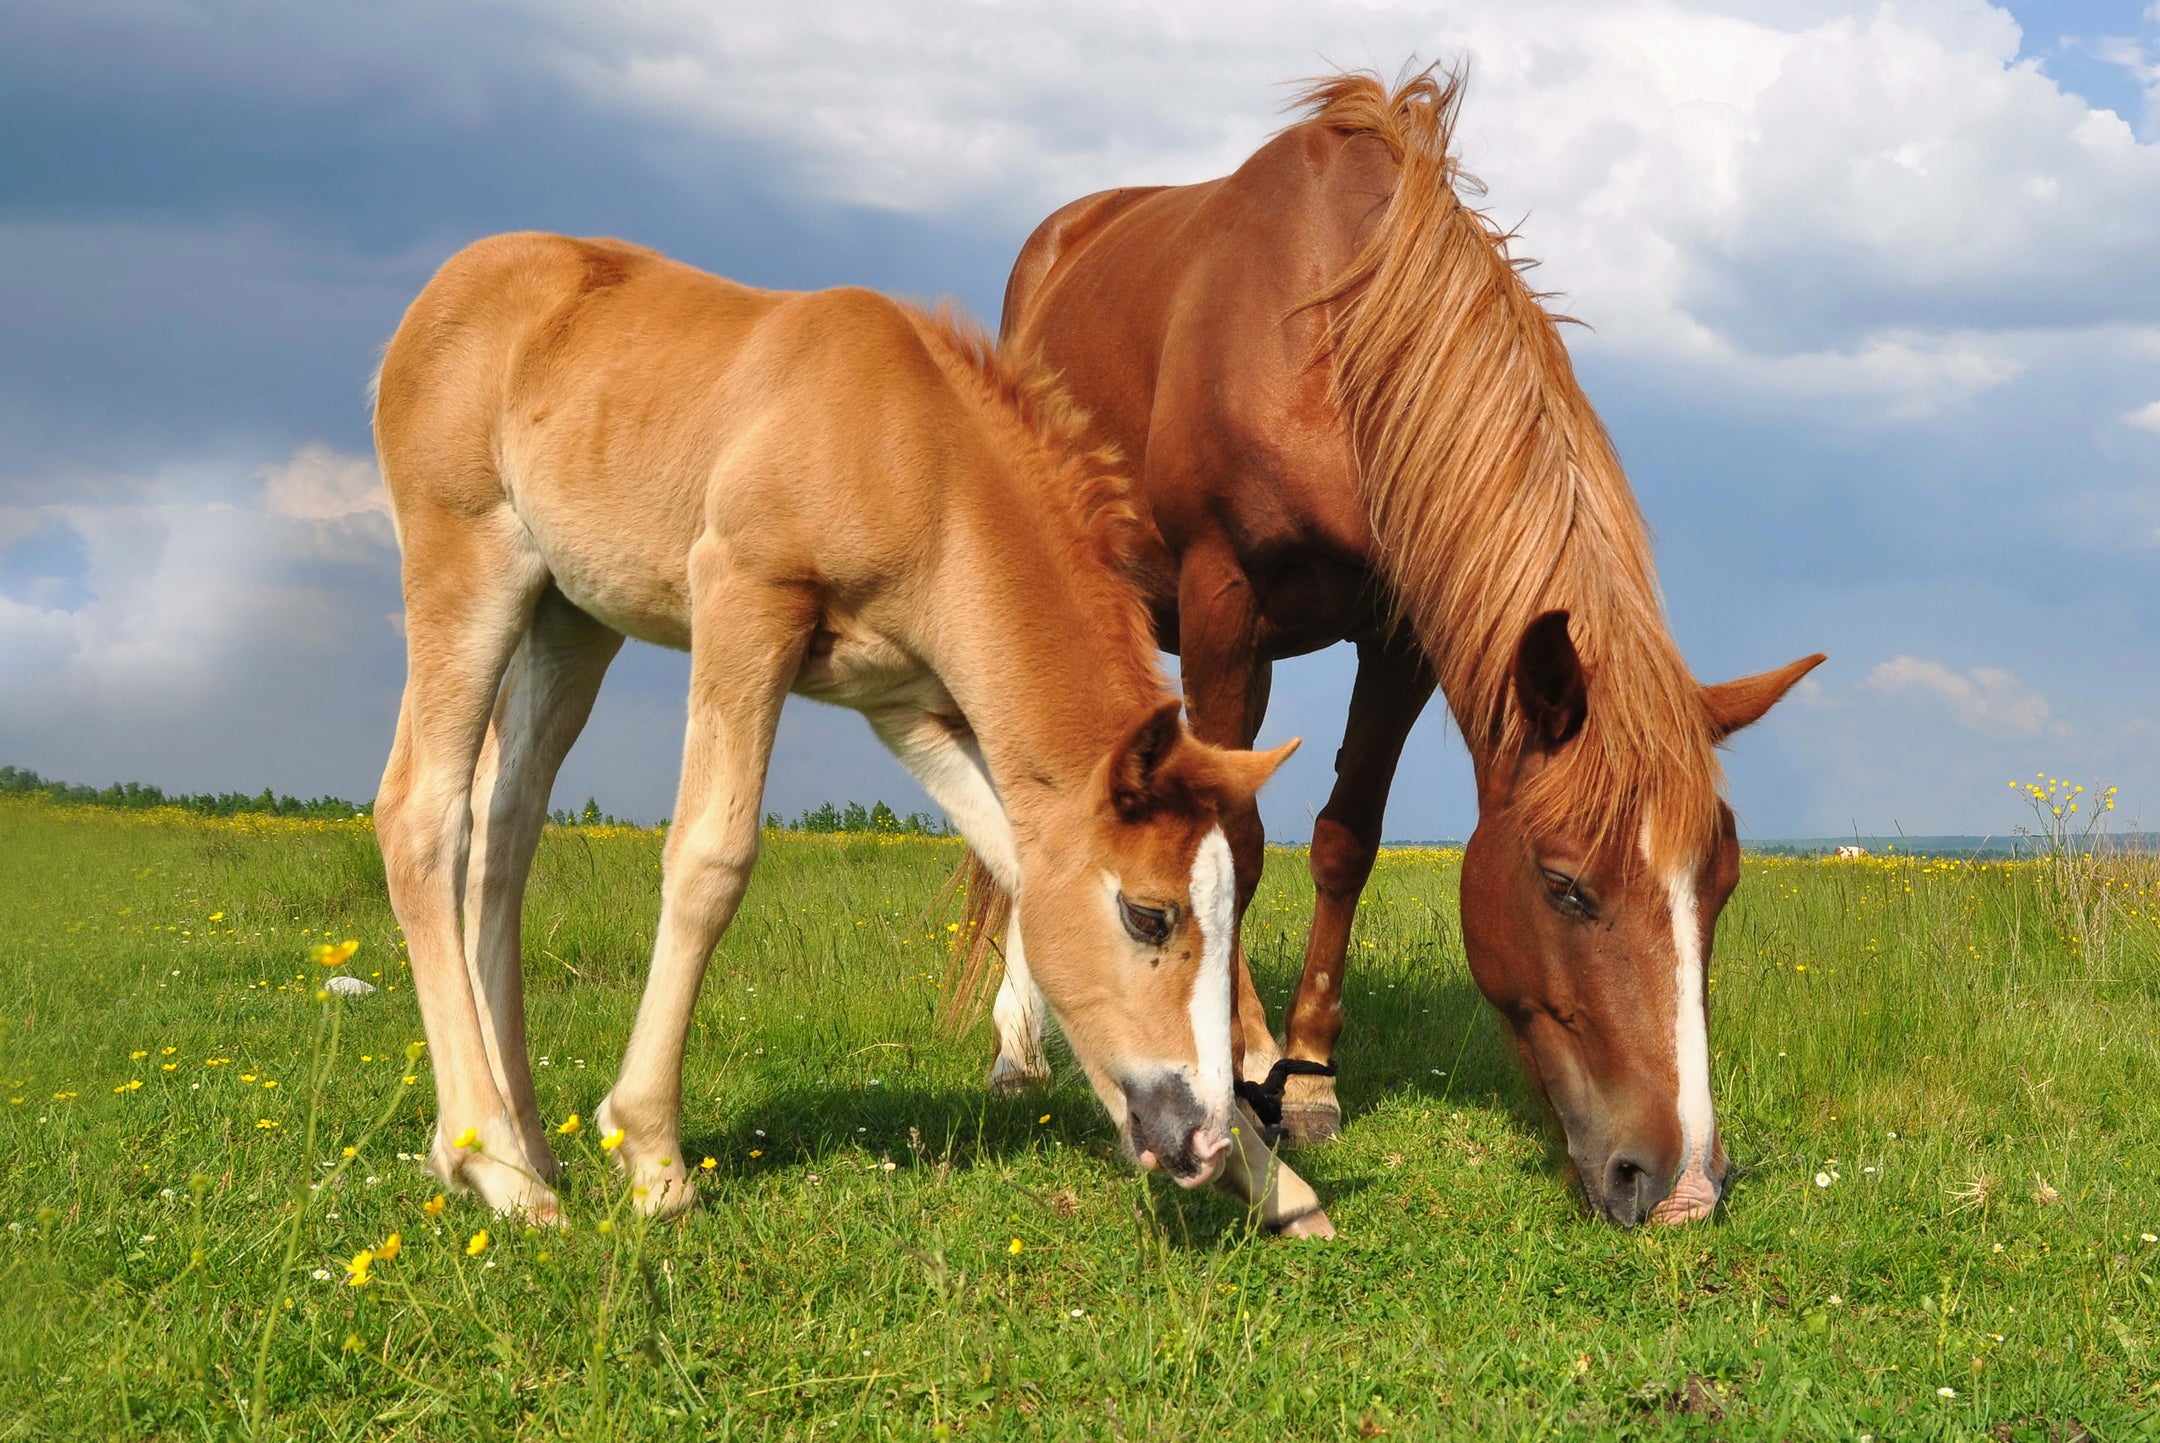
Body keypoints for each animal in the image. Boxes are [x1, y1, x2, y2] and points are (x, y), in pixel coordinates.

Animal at [371, 234, 1330, 1226]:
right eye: (1149, 915)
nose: (1199, 1140)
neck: (916, 459)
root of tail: (454, 281)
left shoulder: (905, 707)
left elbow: (1019, 871)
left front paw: (1276, 1184)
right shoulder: (746, 599)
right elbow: (712, 858)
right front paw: (652, 1155)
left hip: (570, 612)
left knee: (505, 826)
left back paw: (526, 1142)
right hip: (466, 555)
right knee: (422, 813)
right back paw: (494, 1164)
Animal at [980, 73, 1823, 1226]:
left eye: (1723, 883)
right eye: (1566, 886)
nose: (1684, 1185)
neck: (1331, 339)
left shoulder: (1399, 636)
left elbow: (1346, 837)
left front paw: (1306, 1075)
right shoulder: (1221, 599)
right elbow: (1233, 843)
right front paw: (1242, 1061)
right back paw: (1021, 1047)